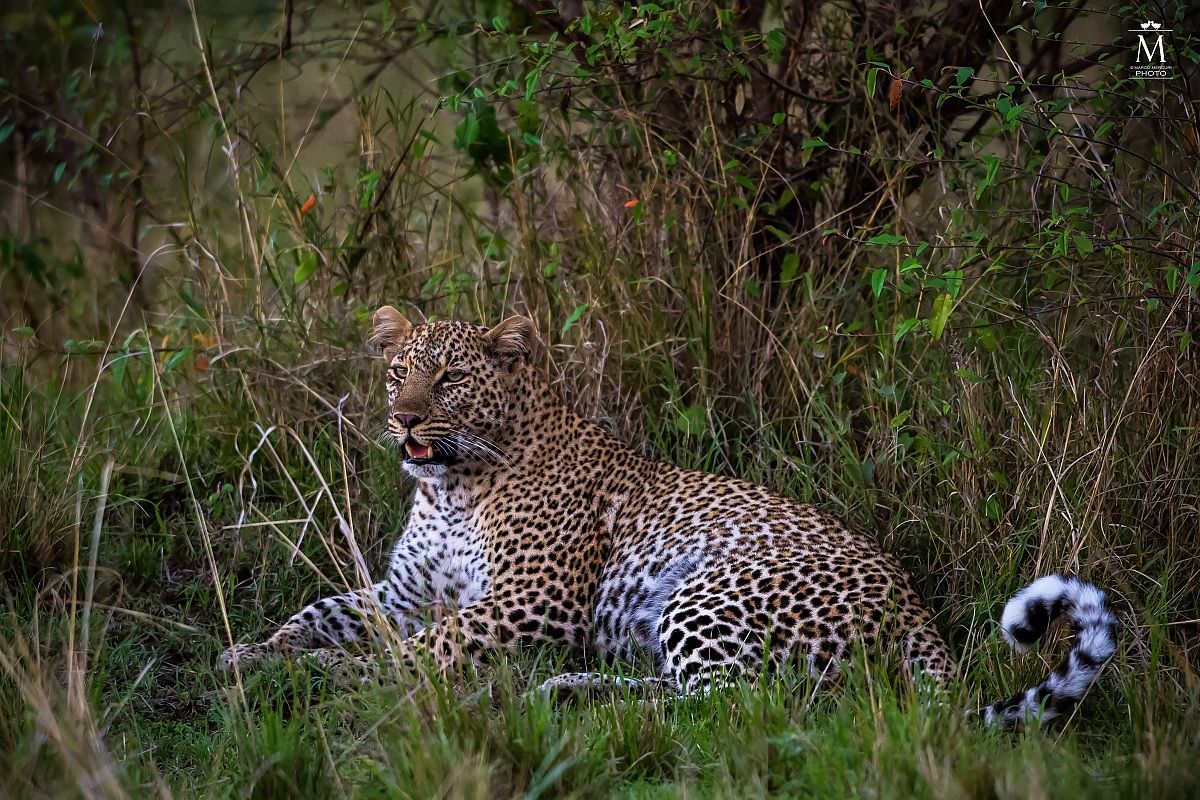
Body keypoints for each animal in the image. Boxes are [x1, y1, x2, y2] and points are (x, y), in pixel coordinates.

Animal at [220, 308, 1118, 726]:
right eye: (399, 371)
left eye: (448, 381)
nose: (403, 421)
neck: (449, 486)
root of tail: (917, 616)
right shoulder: (404, 591)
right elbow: (330, 609)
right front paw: (256, 651)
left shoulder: (529, 600)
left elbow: (421, 650)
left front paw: (329, 675)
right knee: (702, 690)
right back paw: (569, 686)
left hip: (709, 590)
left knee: (733, 706)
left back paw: (575, 696)